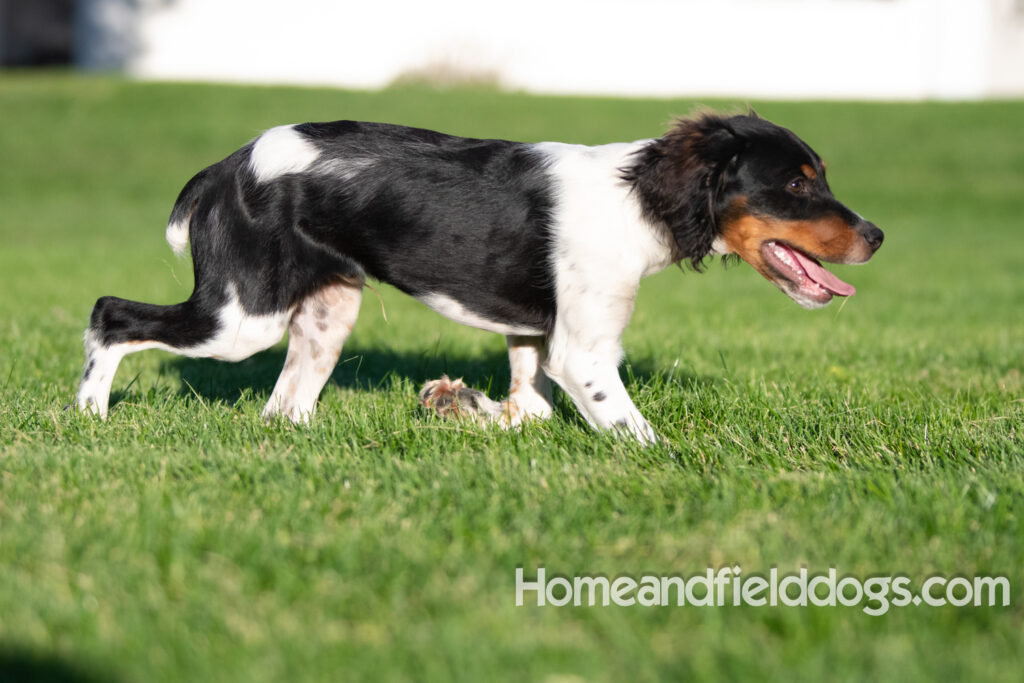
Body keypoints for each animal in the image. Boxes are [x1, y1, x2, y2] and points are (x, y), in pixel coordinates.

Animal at [75, 112, 884, 444]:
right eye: (798, 184)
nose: (877, 236)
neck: (637, 198)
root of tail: (227, 166)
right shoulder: (584, 353)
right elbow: (641, 433)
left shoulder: (536, 338)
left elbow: (530, 410)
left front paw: (456, 405)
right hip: (243, 315)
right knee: (109, 312)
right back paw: (87, 415)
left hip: (324, 313)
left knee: (284, 407)